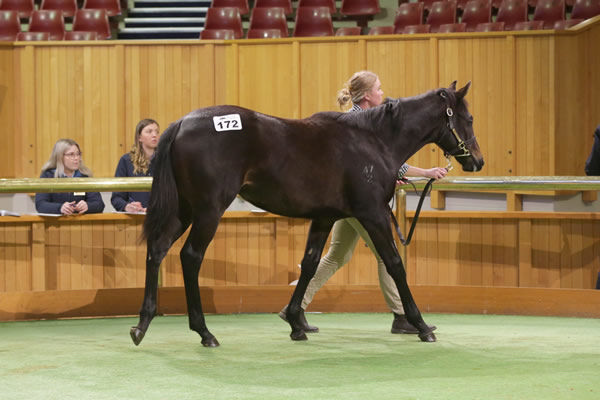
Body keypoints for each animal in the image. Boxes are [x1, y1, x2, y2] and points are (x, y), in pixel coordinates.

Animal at [130, 81, 482, 346]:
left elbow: (311, 263)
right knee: (190, 257)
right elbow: (394, 263)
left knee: (157, 249)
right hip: (208, 210)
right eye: (468, 118)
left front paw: (295, 322)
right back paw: (204, 332)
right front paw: (420, 325)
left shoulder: (324, 217)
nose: (477, 161)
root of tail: (182, 124)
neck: (373, 140)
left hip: (184, 209)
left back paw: (142, 325)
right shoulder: (373, 214)